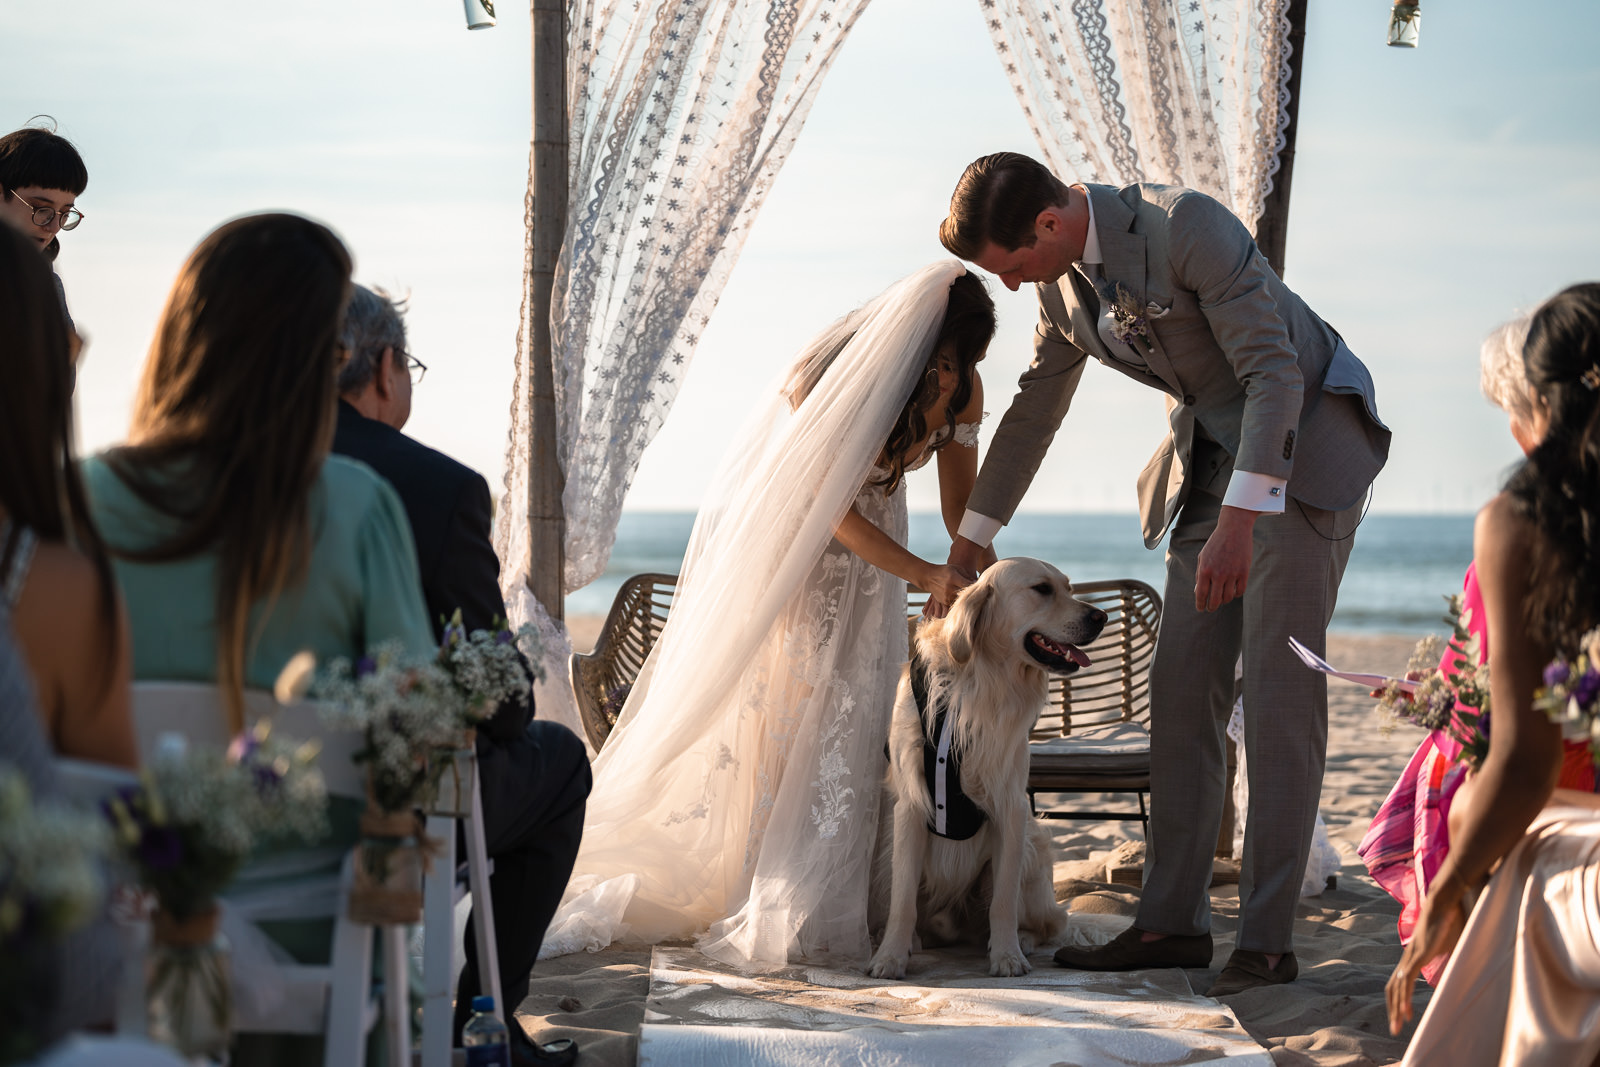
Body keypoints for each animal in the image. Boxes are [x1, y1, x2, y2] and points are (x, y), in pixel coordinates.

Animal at [870, 559, 1107, 979]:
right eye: (1042, 589)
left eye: (1068, 587)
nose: (1102, 616)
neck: (980, 679)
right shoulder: (911, 806)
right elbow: (902, 900)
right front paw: (891, 956)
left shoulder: (1011, 806)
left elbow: (1004, 900)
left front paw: (1007, 955)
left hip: (1033, 852)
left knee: (1053, 922)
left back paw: (1020, 940)